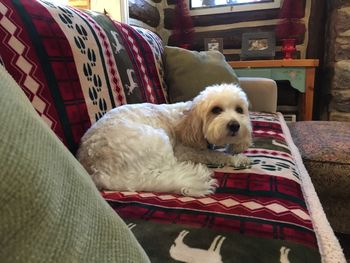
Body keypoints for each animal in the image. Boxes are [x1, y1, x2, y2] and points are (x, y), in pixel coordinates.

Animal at [76, 83, 252, 197]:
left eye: (239, 110)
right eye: (216, 110)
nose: (234, 125)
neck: (187, 118)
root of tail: (100, 171)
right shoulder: (184, 151)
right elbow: (212, 154)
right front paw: (236, 159)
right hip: (159, 140)